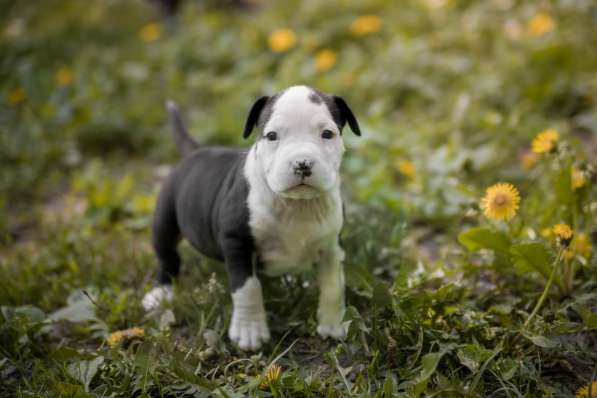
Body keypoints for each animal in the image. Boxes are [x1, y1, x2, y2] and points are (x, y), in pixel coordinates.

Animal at [142, 85, 360, 350]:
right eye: (272, 136)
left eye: (327, 134)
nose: (302, 163)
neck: (296, 205)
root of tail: (195, 151)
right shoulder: (237, 242)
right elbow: (247, 287)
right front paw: (250, 332)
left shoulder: (332, 246)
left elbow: (333, 286)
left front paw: (333, 325)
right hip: (165, 221)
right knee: (167, 256)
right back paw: (161, 293)